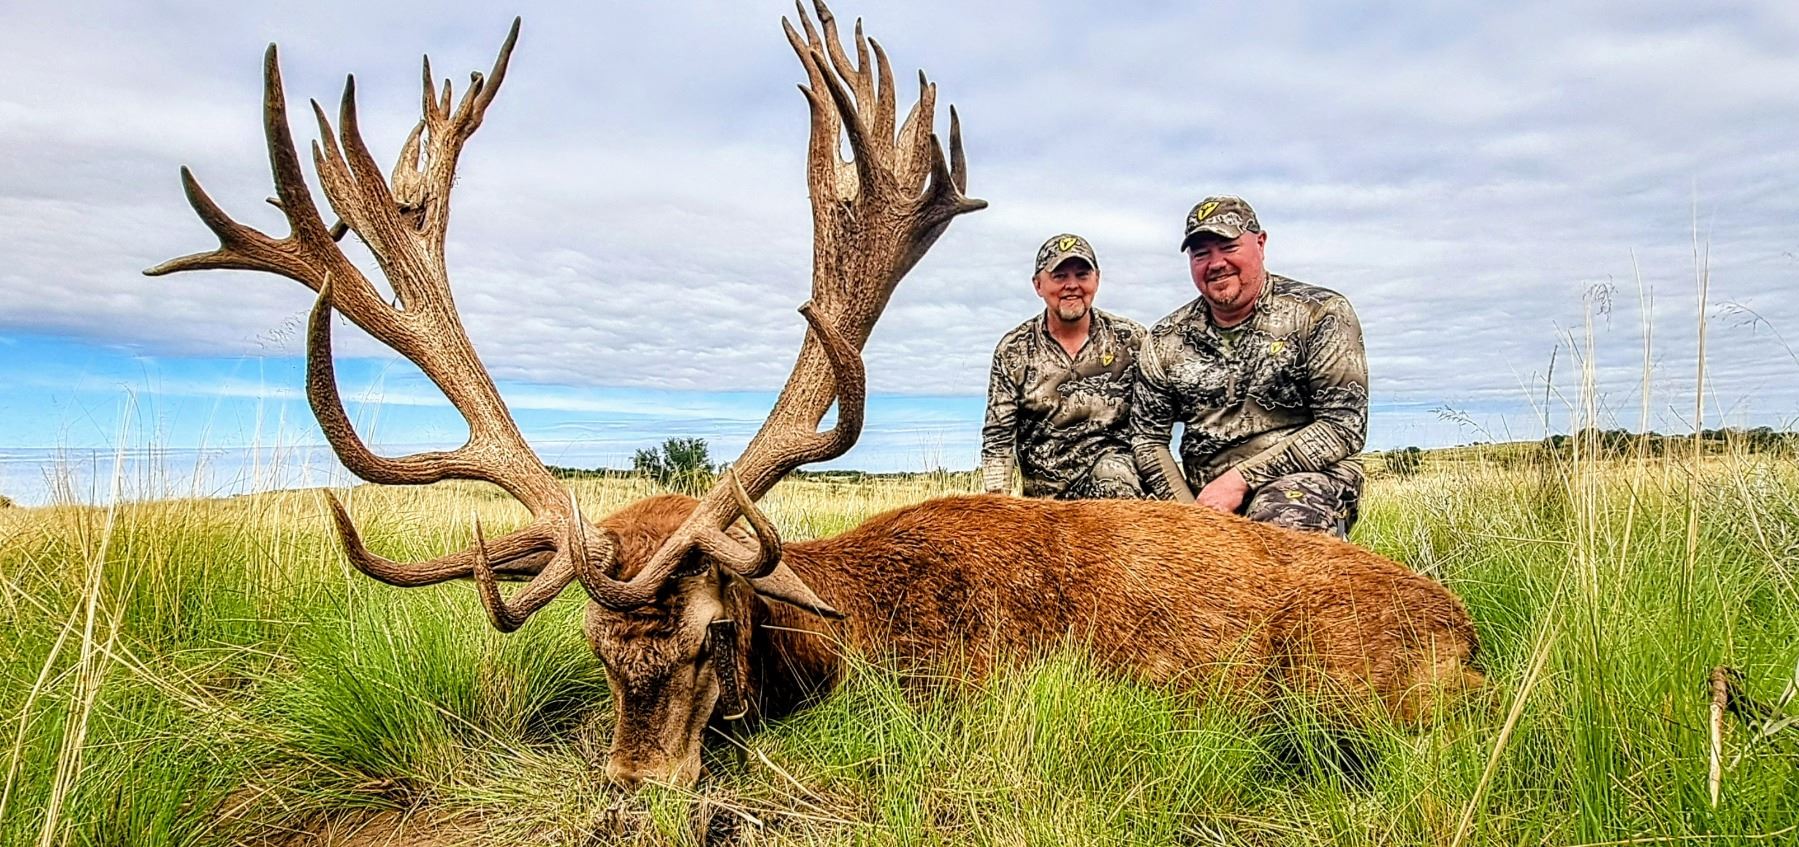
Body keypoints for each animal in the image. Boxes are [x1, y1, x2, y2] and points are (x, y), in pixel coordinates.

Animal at [148, 2, 1483, 790]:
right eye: (592, 646)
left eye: (708, 632)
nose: (634, 782)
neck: (851, 631)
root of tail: (1470, 632)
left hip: (1359, 689)